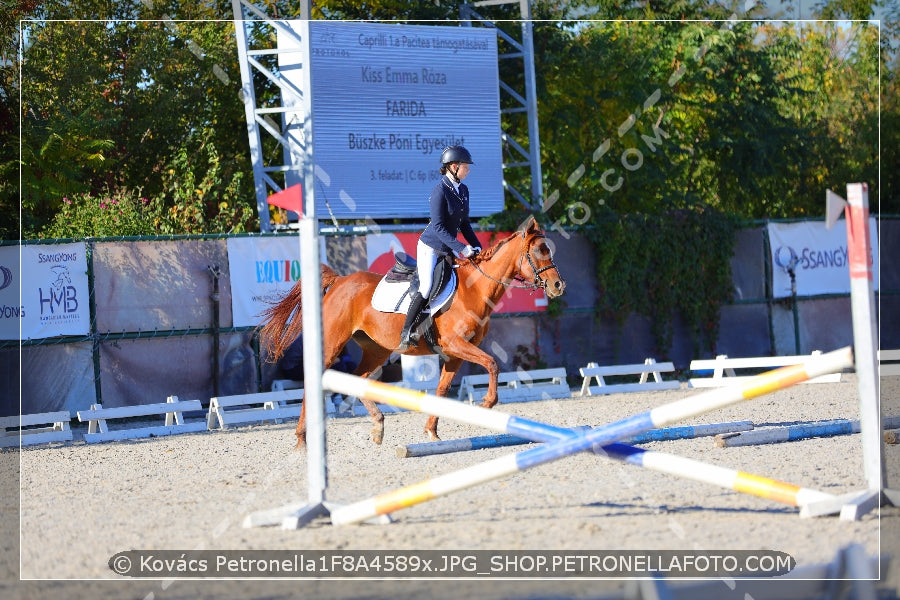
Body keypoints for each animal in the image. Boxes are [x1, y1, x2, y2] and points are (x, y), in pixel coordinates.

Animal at [258, 214, 564, 446]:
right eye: (539, 251)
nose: (558, 286)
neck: (474, 290)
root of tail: (340, 280)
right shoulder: (455, 345)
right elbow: (492, 364)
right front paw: (487, 403)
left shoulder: (454, 354)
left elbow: (442, 390)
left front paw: (431, 431)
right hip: (333, 342)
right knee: (316, 380)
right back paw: (301, 439)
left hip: (377, 349)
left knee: (360, 379)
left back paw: (378, 426)